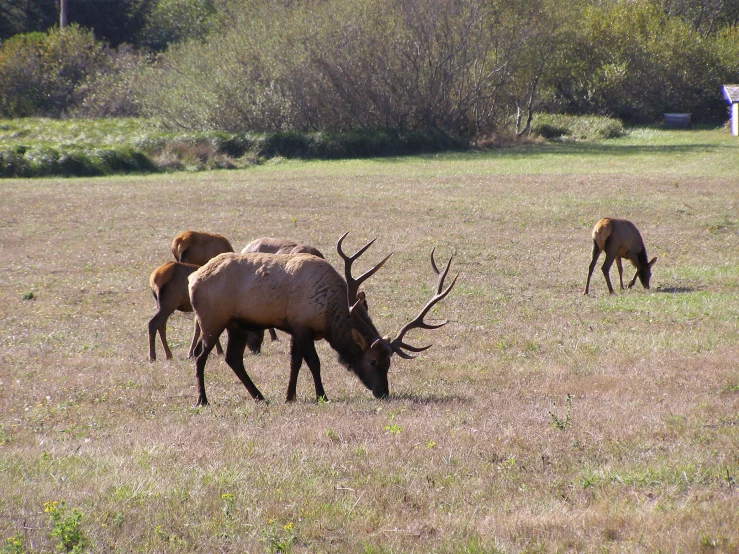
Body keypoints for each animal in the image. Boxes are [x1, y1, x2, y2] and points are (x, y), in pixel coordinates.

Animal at [188, 231, 460, 404]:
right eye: (373, 361)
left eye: (389, 363)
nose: (383, 392)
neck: (328, 316)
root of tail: (192, 279)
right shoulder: (301, 326)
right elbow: (313, 362)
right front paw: (321, 395)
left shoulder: (295, 327)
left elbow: (295, 362)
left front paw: (290, 396)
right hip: (211, 319)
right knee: (201, 356)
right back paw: (202, 400)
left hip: (237, 325)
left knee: (233, 358)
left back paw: (259, 396)